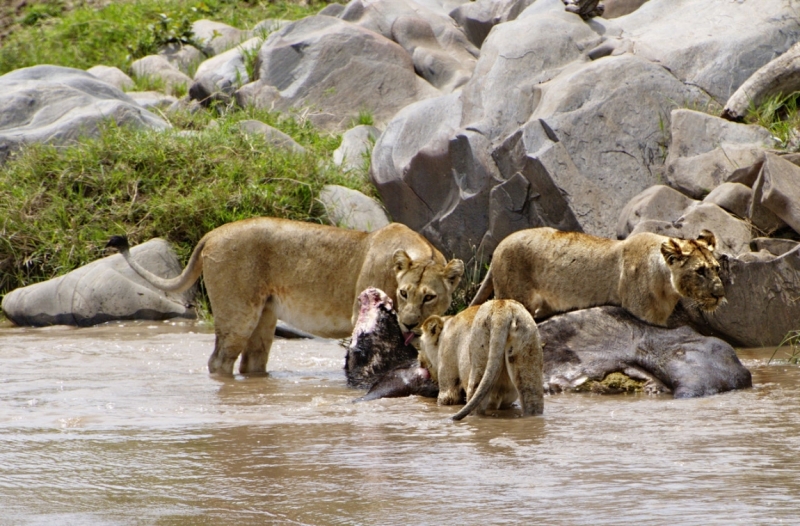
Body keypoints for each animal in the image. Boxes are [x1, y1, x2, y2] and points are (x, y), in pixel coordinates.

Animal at [109, 218, 466, 376]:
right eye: (404, 293)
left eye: (429, 298)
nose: (410, 324)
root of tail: (211, 233)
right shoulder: (362, 314)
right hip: (238, 315)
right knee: (218, 360)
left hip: (265, 318)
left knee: (252, 361)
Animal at [468, 229, 724, 328]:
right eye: (700, 271)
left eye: (716, 268)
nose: (719, 294)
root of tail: (500, 244)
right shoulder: (644, 316)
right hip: (514, 295)